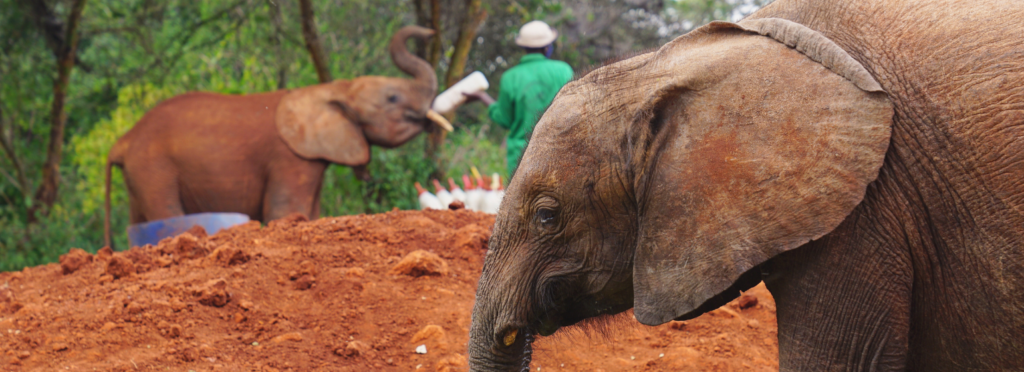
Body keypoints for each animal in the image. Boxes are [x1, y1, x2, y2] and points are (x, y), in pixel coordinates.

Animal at [101, 26, 450, 248]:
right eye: (392, 98)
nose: (431, 33)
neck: (333, 89)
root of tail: (122, 141)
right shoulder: (289, 158)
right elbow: (285, 211)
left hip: (140, 173)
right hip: (153, 167)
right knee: (167, 214)